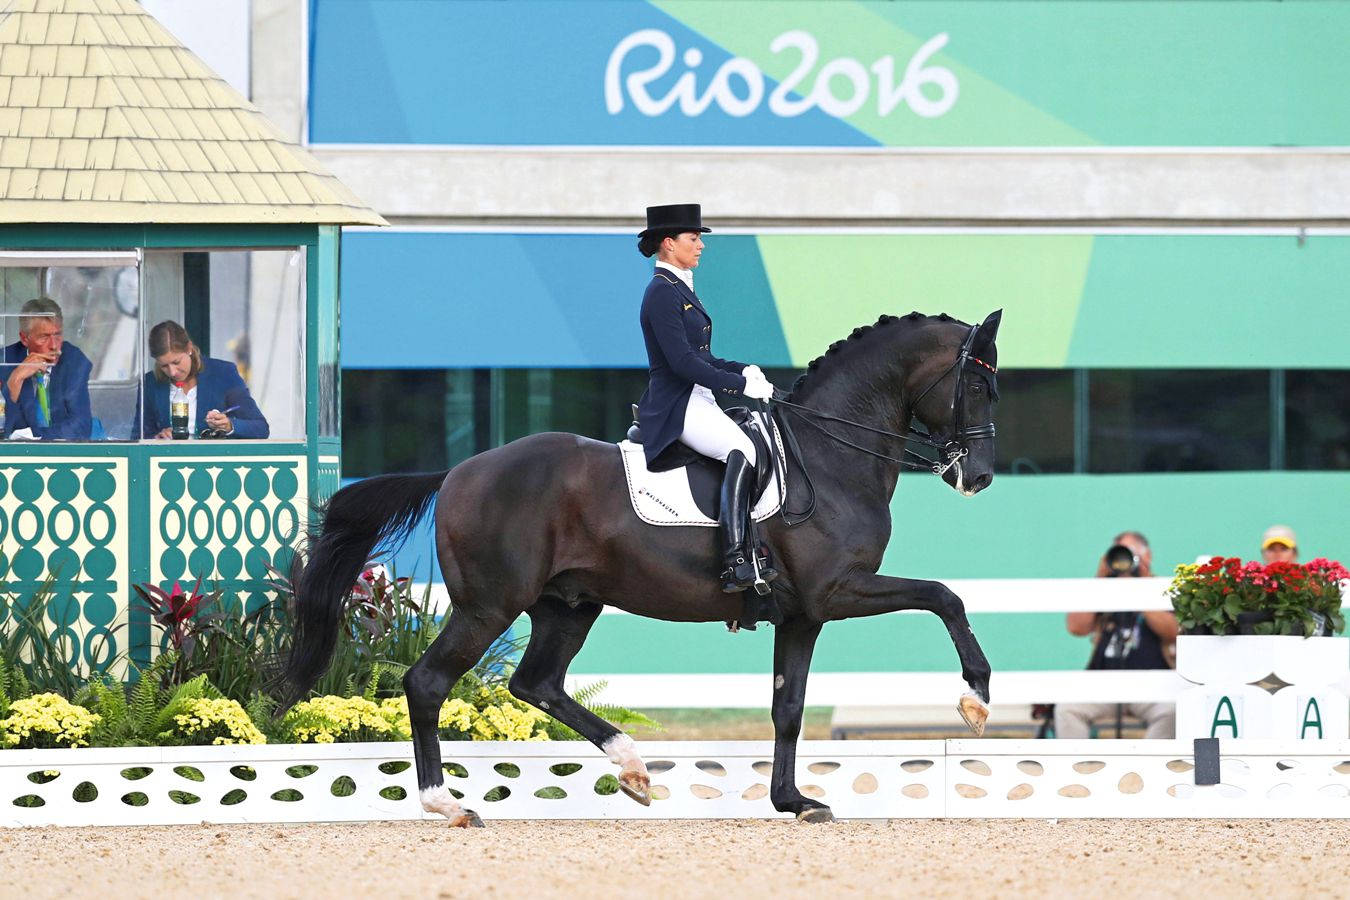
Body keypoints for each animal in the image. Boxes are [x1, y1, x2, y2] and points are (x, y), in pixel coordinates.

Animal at [284, 310, 1004, 825]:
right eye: (976, 384)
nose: (978, 476)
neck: (828, 456)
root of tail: (458, 471)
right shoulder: (837, 592)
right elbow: (944, 596)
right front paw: (974, 698)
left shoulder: (802, 615)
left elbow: (789, 708)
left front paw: (794, 802)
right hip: (489, 606)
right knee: (430, 683)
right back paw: (448, 804)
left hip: (568, 605)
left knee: (536, 683)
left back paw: (631, 767)